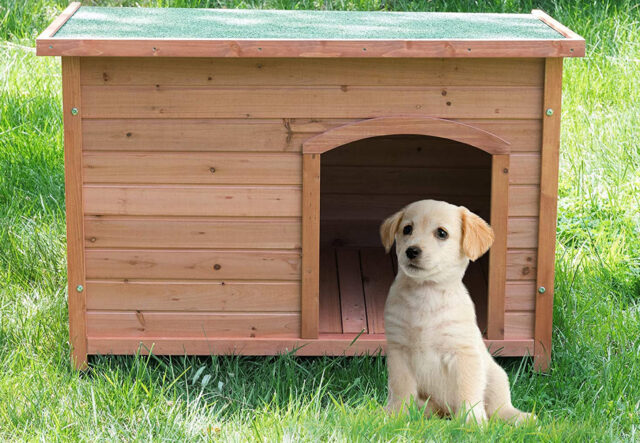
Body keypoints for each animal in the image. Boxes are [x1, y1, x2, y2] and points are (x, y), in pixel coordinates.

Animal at [380, 200, 528, 424]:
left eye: (441, 233)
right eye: (407, 229)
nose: (412, 251)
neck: (426, 293)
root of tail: (445, 411)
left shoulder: (463, 353)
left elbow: (468, 391)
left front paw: (472, 422)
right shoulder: (399, 351)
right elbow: (401, 388)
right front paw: (396, 415)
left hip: (497, 375)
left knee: (499, 407)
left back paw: (521, 418)